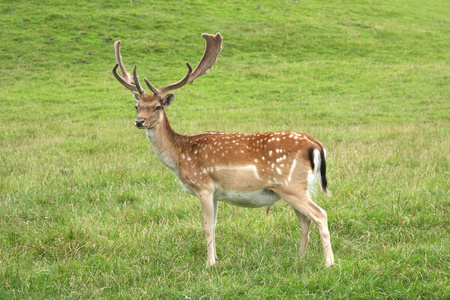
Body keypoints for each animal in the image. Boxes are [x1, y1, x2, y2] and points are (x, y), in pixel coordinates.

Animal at [112, 32, 334, 268]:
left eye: (157, 106)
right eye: (137, 106)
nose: (139, 121)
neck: (179, 156)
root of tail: (316, 145)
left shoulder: (204, 186)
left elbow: (207, 226)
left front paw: (210, 264)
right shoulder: (217, 194)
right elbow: (215, 225)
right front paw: (216, 259)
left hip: (291, 186)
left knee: (320, 214)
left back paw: (329, 263)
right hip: (297, 188)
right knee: (305, 220)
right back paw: (300, 259)